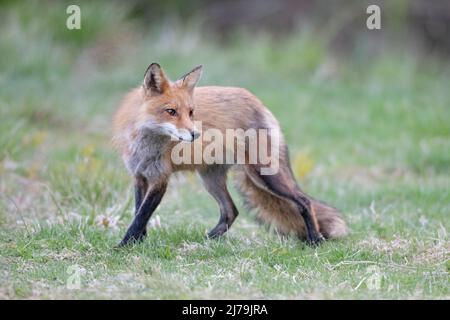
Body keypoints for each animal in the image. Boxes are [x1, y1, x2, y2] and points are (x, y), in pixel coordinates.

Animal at [113, 63, 348, 248]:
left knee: (304, 201)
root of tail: (258, 102)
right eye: (171, 111)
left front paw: (123, 246)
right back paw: (206, 240)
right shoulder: (139, 175)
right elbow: (138, 212)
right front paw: (138, 242)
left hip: (264, 175)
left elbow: (141, 215)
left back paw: (315, 240)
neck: (146, 146)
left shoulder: (160, 178)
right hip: (211, 179)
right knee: (231, 211)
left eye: (191, 112)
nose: (195, 134)